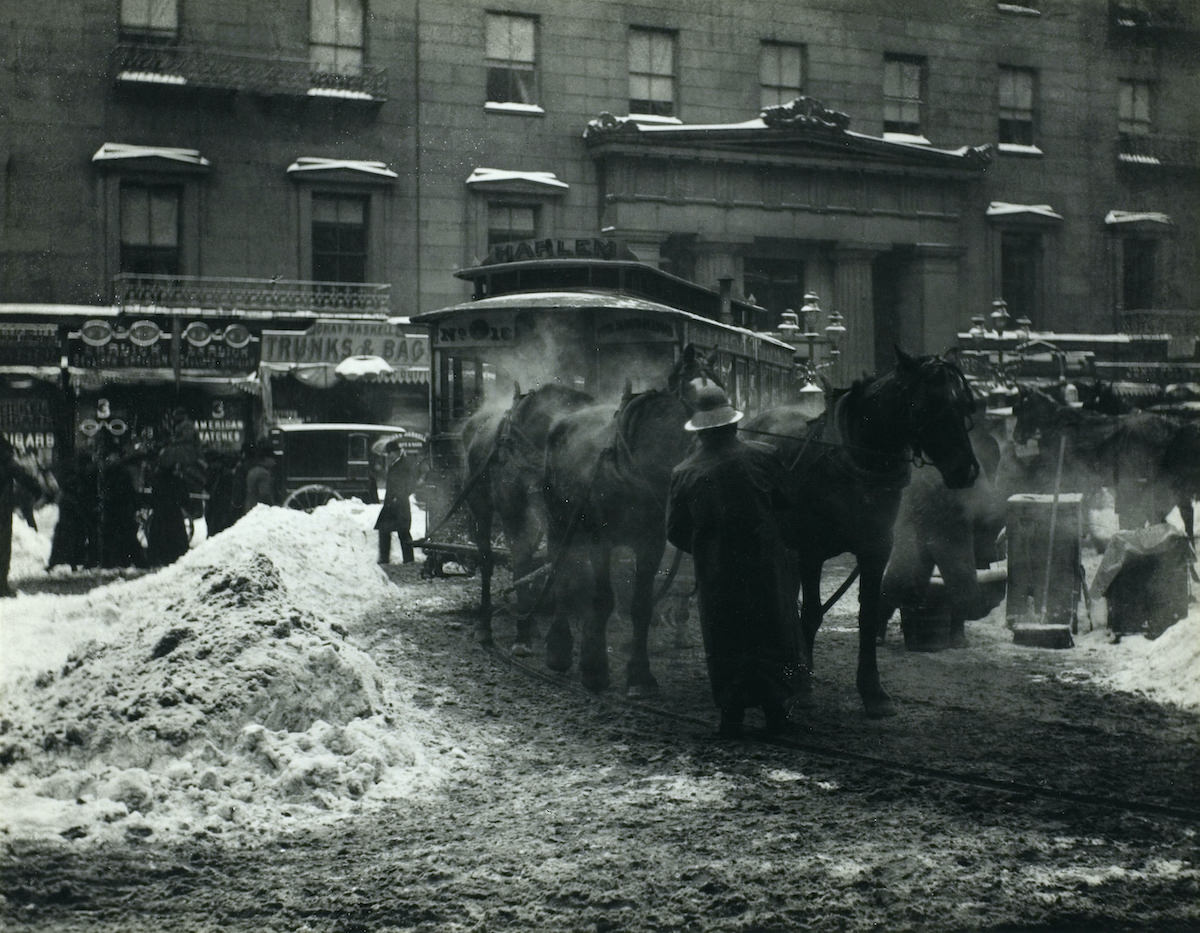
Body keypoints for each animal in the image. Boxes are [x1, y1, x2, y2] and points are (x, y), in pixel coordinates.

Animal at [458, 381, 595, 642]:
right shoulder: (513, 511)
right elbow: (520, 560)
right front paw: (522, 637)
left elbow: (554, 562)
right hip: (480, 506)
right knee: (487, 558)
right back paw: (485, 624)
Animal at [540, 342, 715, 690]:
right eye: (696, 394)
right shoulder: (601, 540)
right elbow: (603, 599)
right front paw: (594, 669)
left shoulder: (651, 544)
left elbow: (641, 605)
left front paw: (640, 674)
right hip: (559, 522)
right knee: (562, 575)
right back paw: (559, 649)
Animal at [744, 350, 979, 719]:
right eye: (925, 406)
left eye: (964, 405)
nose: (966, 470)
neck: (854, 460)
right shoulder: (812, 552)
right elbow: (811, 613)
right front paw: (804, 687)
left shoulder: (875, 549)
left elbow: (868, 614)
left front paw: (873, 692)